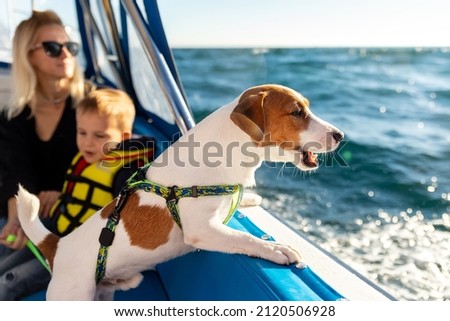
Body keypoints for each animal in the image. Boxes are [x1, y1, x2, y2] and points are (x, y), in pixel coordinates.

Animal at [15, 84, 342, 298]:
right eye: (297, 112)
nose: (340, 135)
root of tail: (57, 246)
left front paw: (250, 199)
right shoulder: (202, 229)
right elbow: (244, 238)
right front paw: (276, 249)